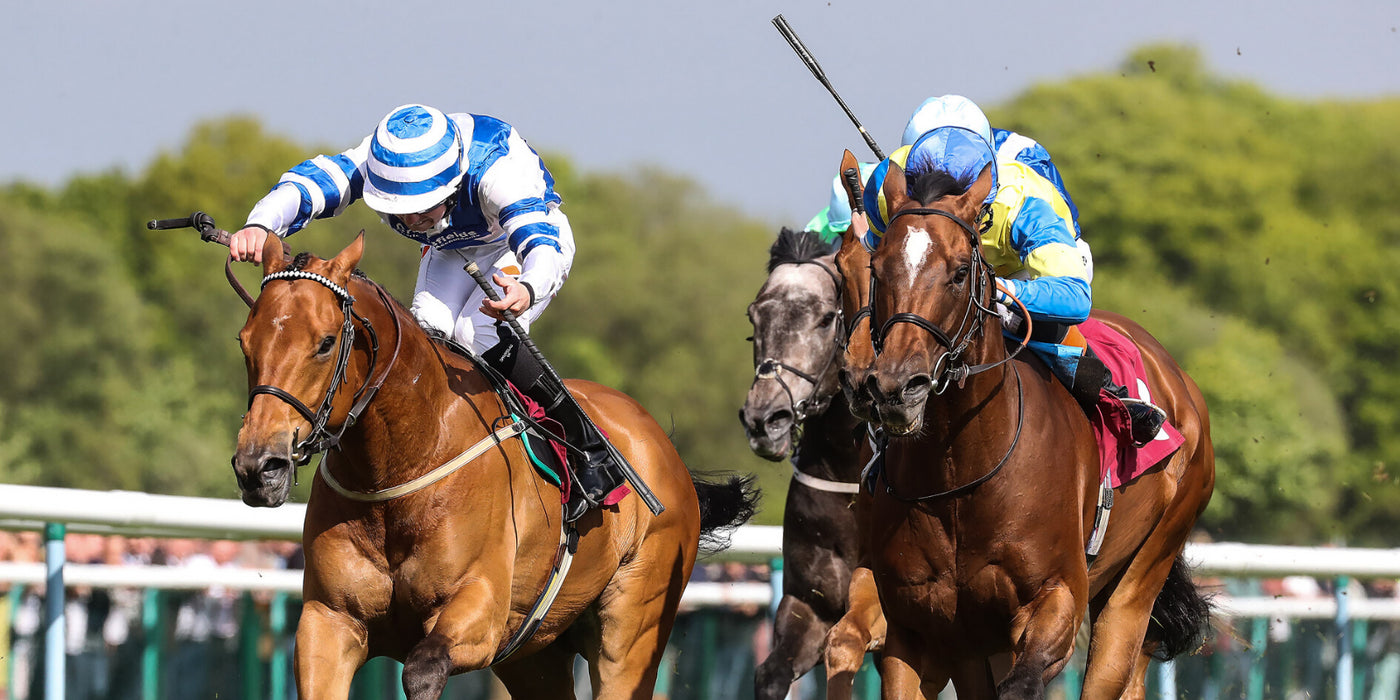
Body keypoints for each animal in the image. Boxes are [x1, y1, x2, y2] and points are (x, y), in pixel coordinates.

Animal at [230, 231, 758, 699]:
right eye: (244, 341)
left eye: (324, 343)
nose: (259, 466)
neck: (402, 466)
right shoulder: (329, 620)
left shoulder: (481, 614)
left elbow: (422, 670)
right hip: (536, 654)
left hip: (632, 626)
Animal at [842, 159, 1215, 699]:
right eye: (878, 268)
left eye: (960, 272)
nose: (894, 386)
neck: (960, 477)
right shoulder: (923, 630)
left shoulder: (1056, 600)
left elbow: (1024, 682)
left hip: (1145, 567)